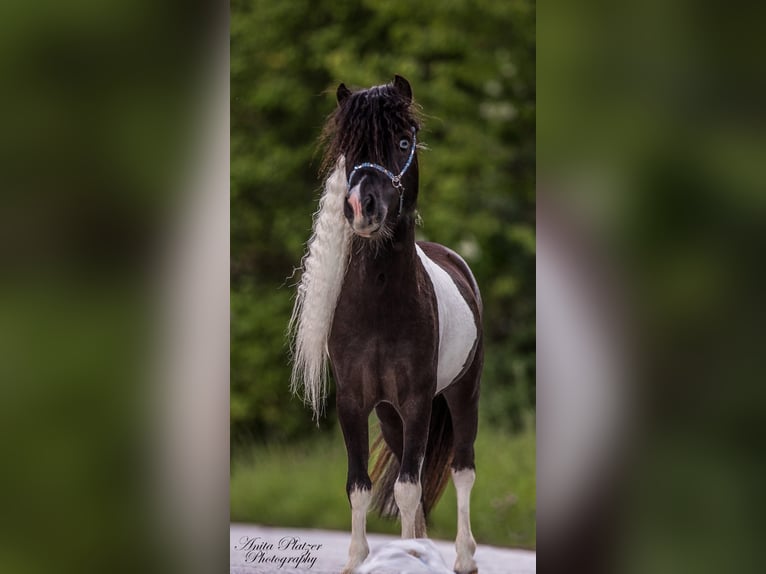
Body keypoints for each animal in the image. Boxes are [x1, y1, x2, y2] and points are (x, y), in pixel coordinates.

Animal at [292, 76, 484, 574]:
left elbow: (409, 488)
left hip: (463, 392)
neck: (379, 306)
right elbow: (361, 486)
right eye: (348, 147)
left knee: (462, 470)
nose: (361, 207)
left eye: (401, 142)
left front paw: (417, 557)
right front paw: (358, 561)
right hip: (390, 415)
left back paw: (462, 558)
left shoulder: (417, 400)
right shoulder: (355, 402)